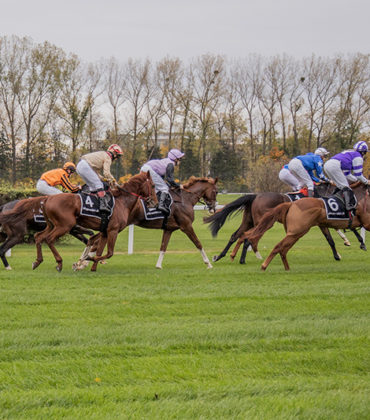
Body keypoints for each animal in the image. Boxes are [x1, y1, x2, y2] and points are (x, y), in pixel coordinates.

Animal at [74, 176, 220, 270]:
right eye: (216, 191)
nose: (213, 208)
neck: (185, 199)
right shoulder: (186, 226)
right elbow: (198, 243)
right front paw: (208, 263)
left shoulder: (169, 229)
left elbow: (163, 247)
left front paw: (158, 265)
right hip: (117, 226)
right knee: (94, 241)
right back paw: (83, 262)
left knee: (93, 239)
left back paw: (82, 262)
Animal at [202, 184, 362, 262]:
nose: (350, 203)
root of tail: (256, 196)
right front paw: (354, 241)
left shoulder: (323, 220)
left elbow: (331, 239)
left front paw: (340, 251)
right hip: (262, 222)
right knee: (249, 238)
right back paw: (243, 258)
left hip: (249, 221)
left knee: (236, 236)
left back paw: (221, 256)